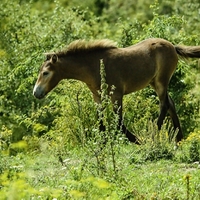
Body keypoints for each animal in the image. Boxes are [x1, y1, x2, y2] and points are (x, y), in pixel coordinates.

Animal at [33, 38, 200, 144]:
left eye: (45, 73)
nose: (36, 93)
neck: (94, 66)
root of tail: (172, 46)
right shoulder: (97, 97)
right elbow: (101, 121)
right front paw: (102, 144)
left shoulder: (116, 95)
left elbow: (119, 122)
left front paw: (138, 140)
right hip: (154, 82)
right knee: (170, 103)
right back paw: (179, 139)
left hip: (161, 81)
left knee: (164, 105)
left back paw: (153, 136)